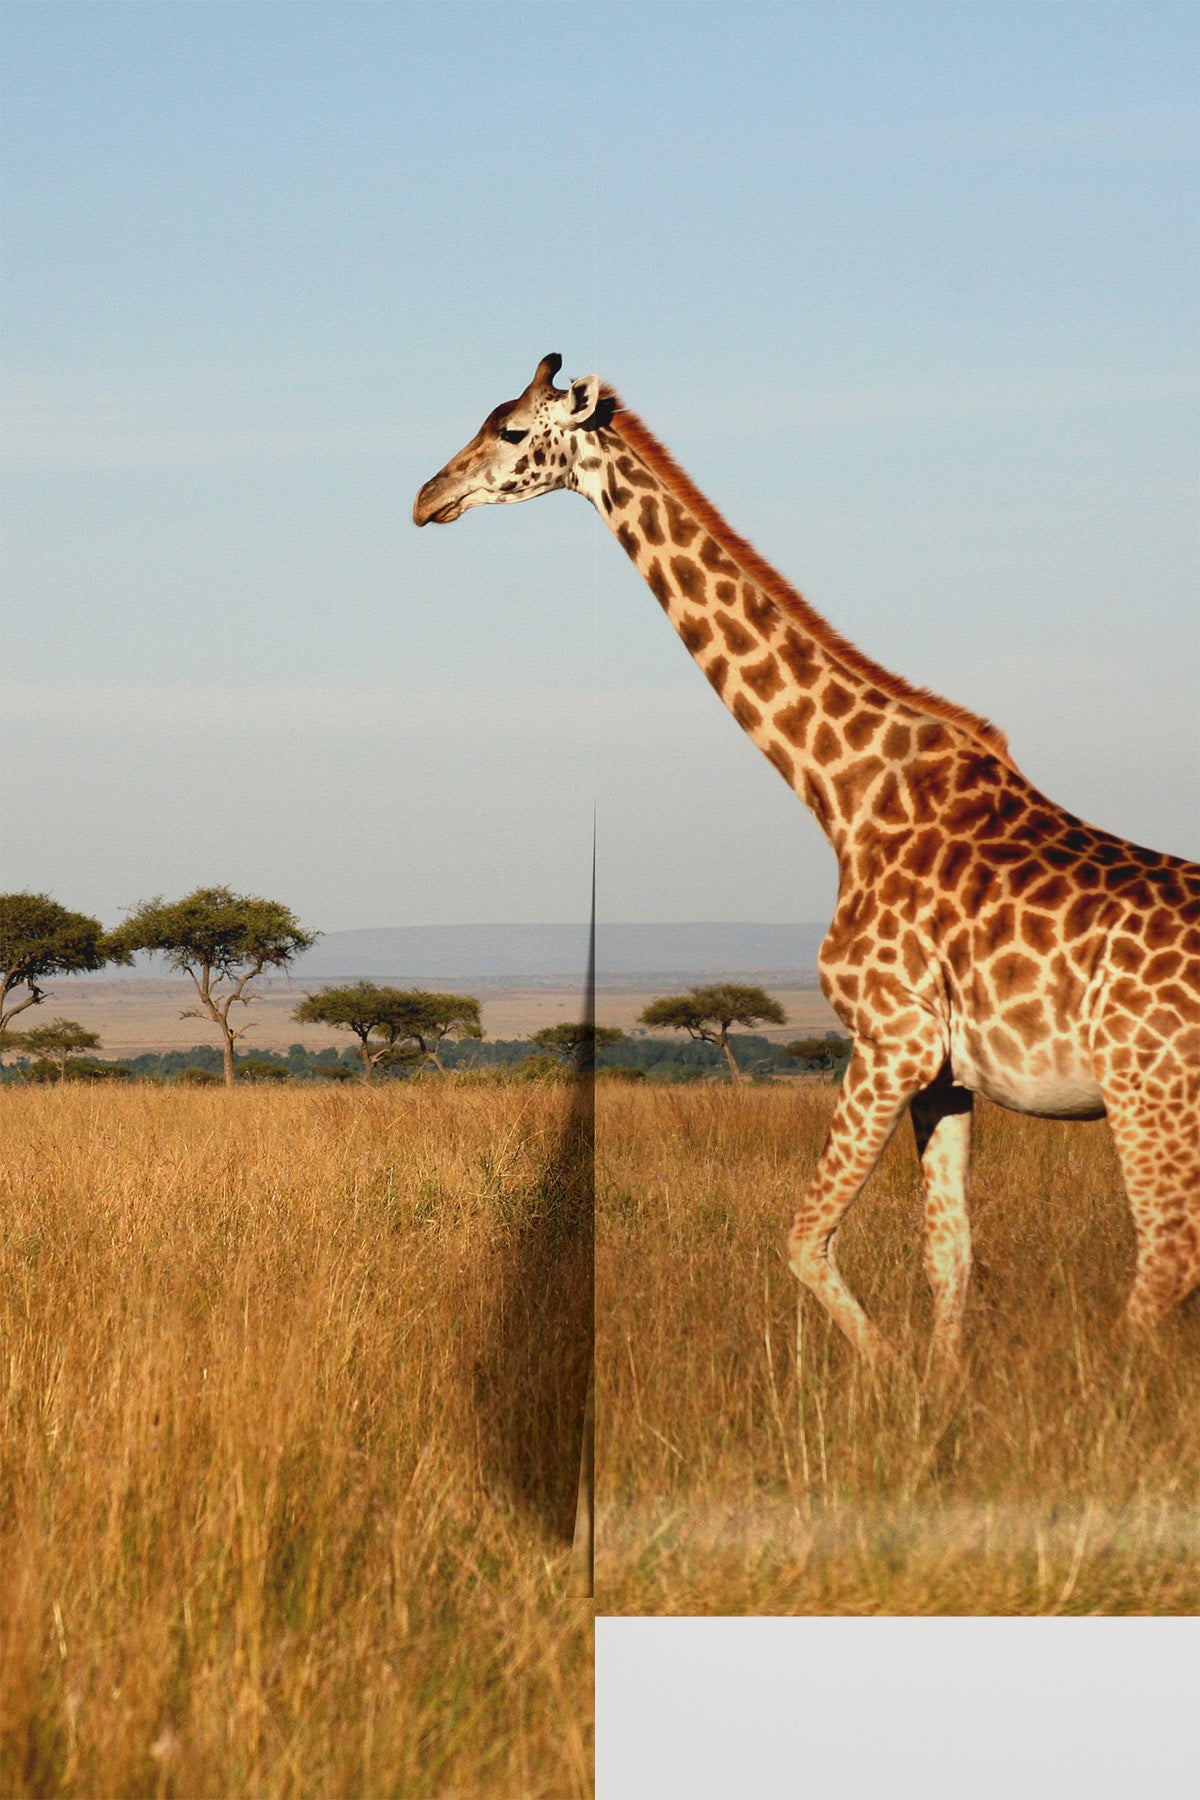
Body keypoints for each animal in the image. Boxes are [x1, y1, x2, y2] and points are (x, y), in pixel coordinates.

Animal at [414, 353, 1200, 1369]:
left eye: (511, 430)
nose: (426, 498)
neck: (845, 792)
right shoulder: (942, 1073)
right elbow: (949, 1255)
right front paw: (939, 1393)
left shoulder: (892, 1040)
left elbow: (804, 1237)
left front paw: (888, 1377)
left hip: (1149, 1093)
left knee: (1165, 1258)